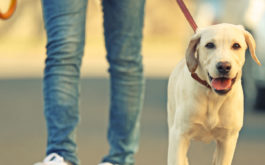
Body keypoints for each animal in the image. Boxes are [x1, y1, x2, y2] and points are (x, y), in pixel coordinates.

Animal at [167, 23, 260, 165]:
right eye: (210, 45)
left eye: (236, 45)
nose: (224, 66)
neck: (213, 97)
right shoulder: (179, 135)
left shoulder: (228, 140)